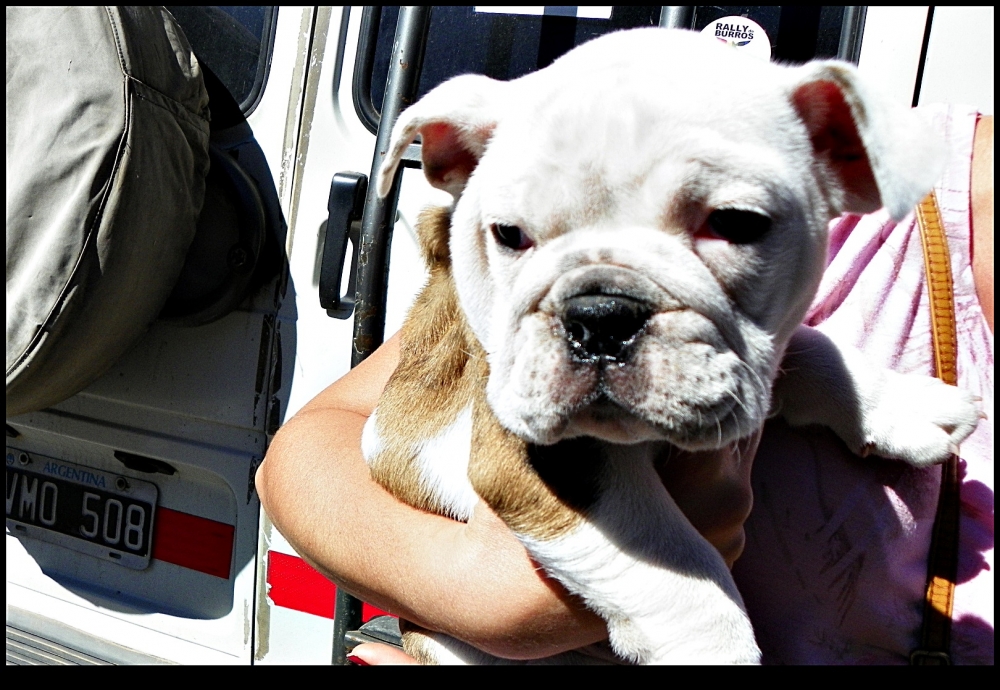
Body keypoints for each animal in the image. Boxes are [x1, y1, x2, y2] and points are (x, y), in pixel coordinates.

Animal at [358, 28, 976, 660]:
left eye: (737, 223)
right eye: (509, 235)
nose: (600, 313)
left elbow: (811, 347)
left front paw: (900, 406)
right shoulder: (533, 448)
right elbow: (675, 564)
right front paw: (715, 649)